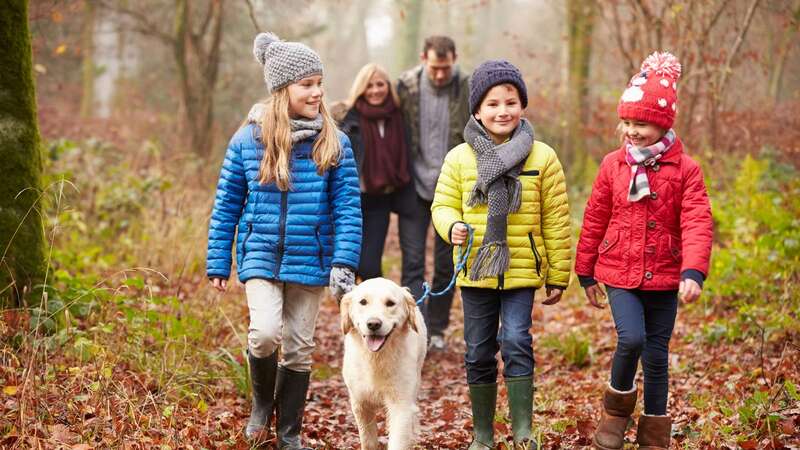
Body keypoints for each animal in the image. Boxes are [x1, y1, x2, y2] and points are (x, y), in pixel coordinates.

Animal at [344, 278, 432, 450]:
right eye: (363, 302)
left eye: (390, 303)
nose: (373, 324)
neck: (376, 358)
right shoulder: (360, 403)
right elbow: (368, 441)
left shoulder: (401, 404)